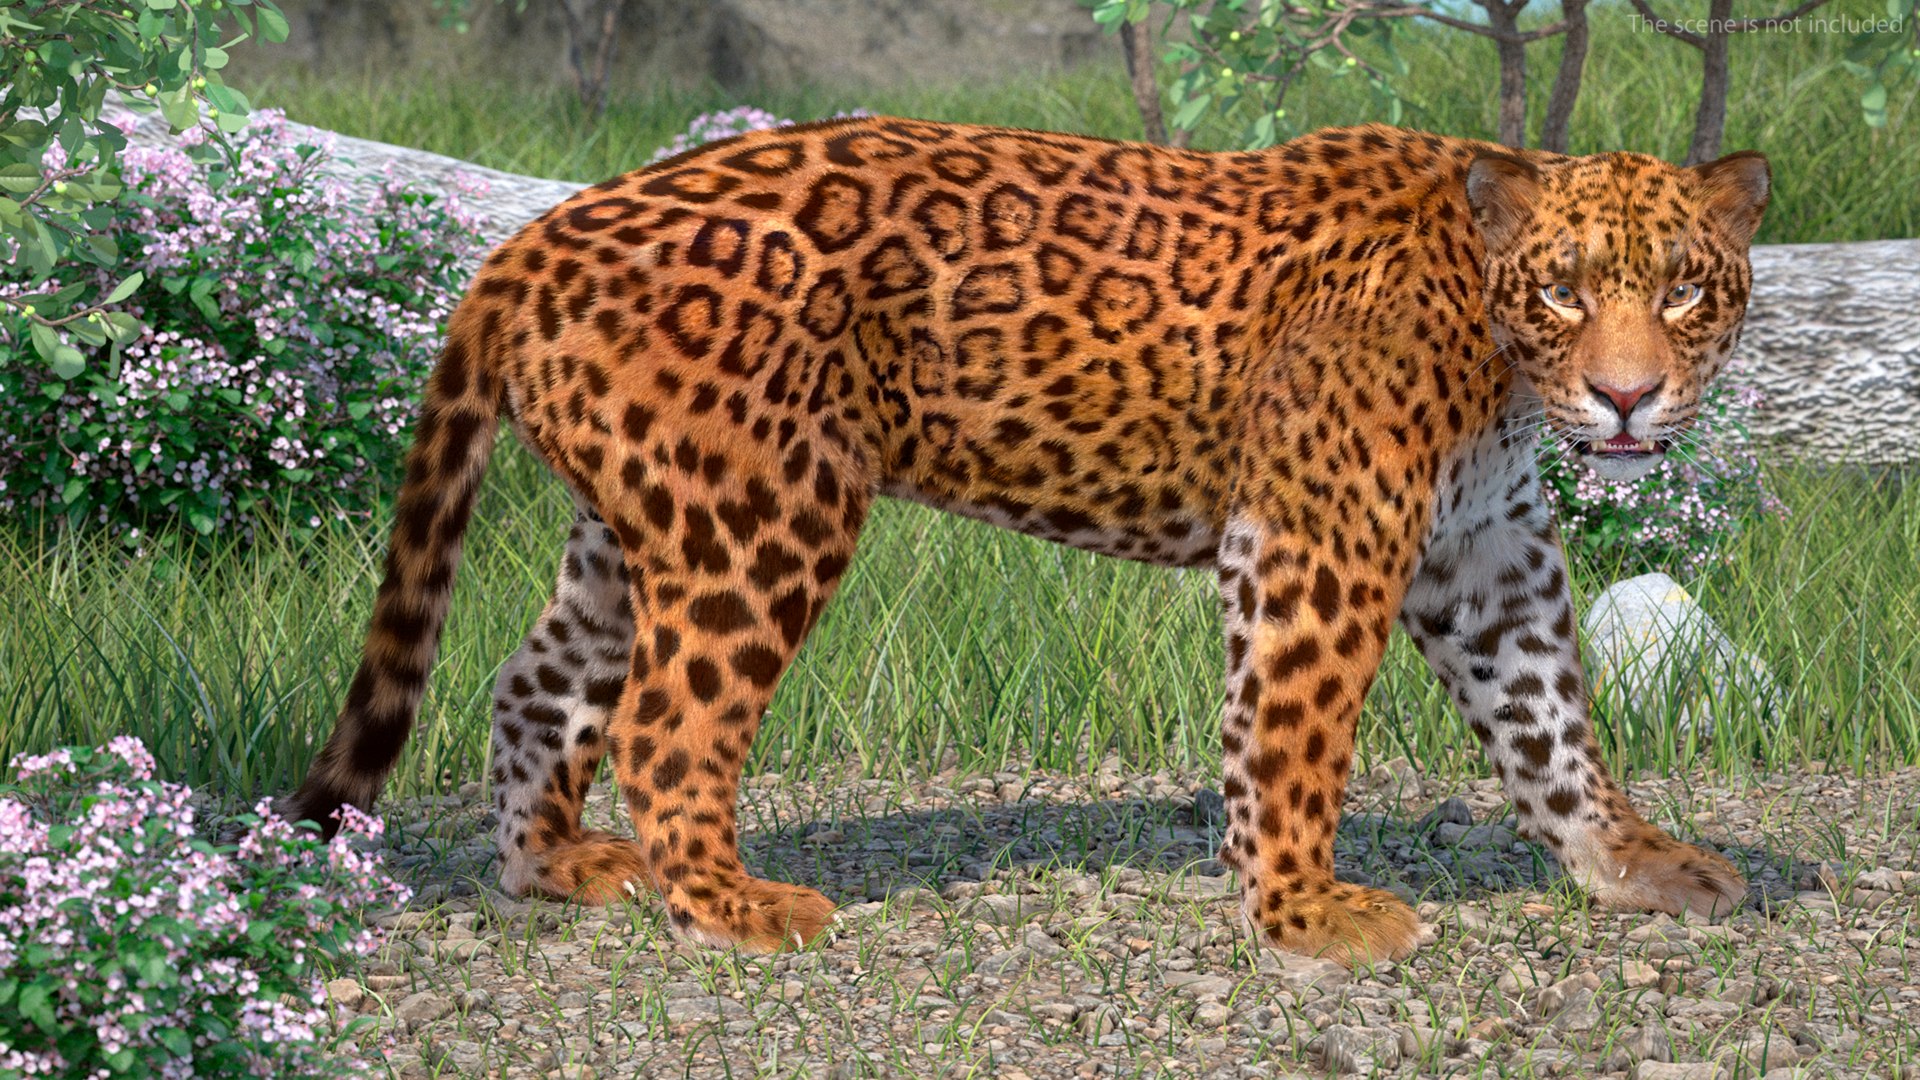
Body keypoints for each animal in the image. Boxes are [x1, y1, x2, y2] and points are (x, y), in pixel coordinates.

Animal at [278, 117, 1770, 965]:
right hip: (762, 516)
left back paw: (560, 868)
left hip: (639, 519)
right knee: (664, 723)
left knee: (536, 685)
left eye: (1683, 292)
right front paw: (1302, 917)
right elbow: (1293, 736)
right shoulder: (1318, 539)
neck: (1501, 351)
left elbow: (1550, 720)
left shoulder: (1488, 557)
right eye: (1565, 291)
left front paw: (1634, 864)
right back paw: (729, 906)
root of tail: (532, 239)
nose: (1627, 397)